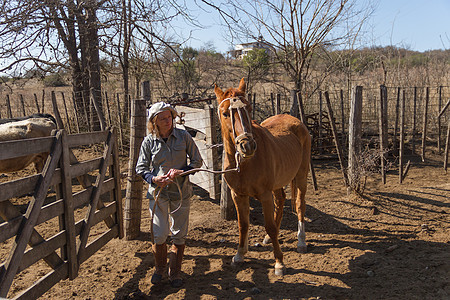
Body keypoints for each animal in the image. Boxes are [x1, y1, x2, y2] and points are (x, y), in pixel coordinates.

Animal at [214, 78, 310, 276]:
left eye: (249, 108)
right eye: (226, 113)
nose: (247, 146)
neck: (244, 164)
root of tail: (296, 121)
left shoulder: (264, 195)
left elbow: (270, 226)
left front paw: (279, 262)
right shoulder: (238, 195)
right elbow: (243, 225)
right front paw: (239, 255)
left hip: (301, 176)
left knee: (299, 204)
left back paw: (301, 241)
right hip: (278, 184)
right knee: (280, 200)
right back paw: (268, 238)